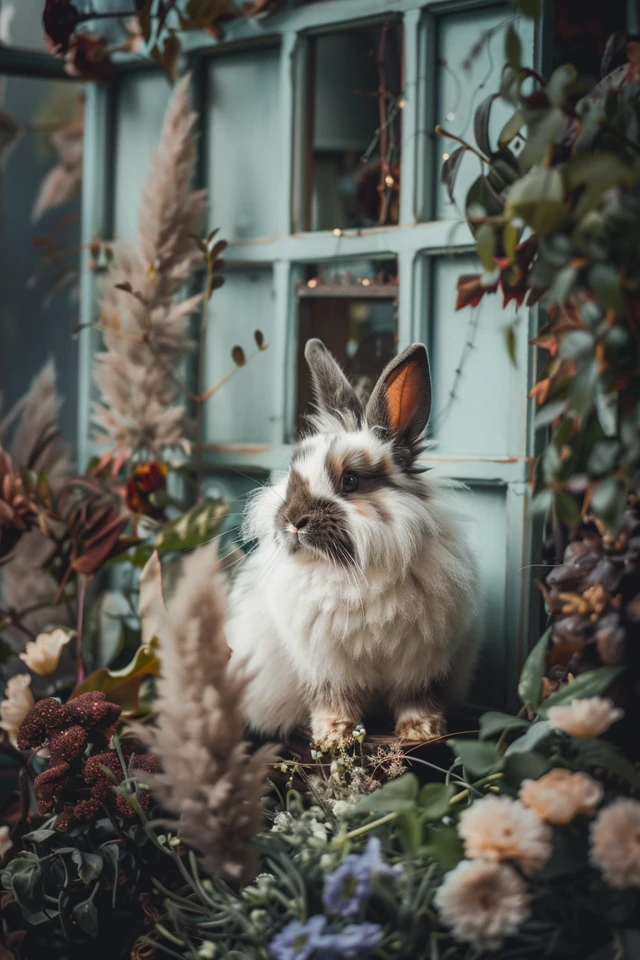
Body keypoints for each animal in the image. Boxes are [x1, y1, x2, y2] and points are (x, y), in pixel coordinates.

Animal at [225, 339, 479, 747]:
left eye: (351, 481)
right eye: (293, 475)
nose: (293, 519)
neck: (353, 571)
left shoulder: (422, 663)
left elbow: (416, 697)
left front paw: (421, 732)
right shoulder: (325, 666)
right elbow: (333, 700)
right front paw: (334, 738)